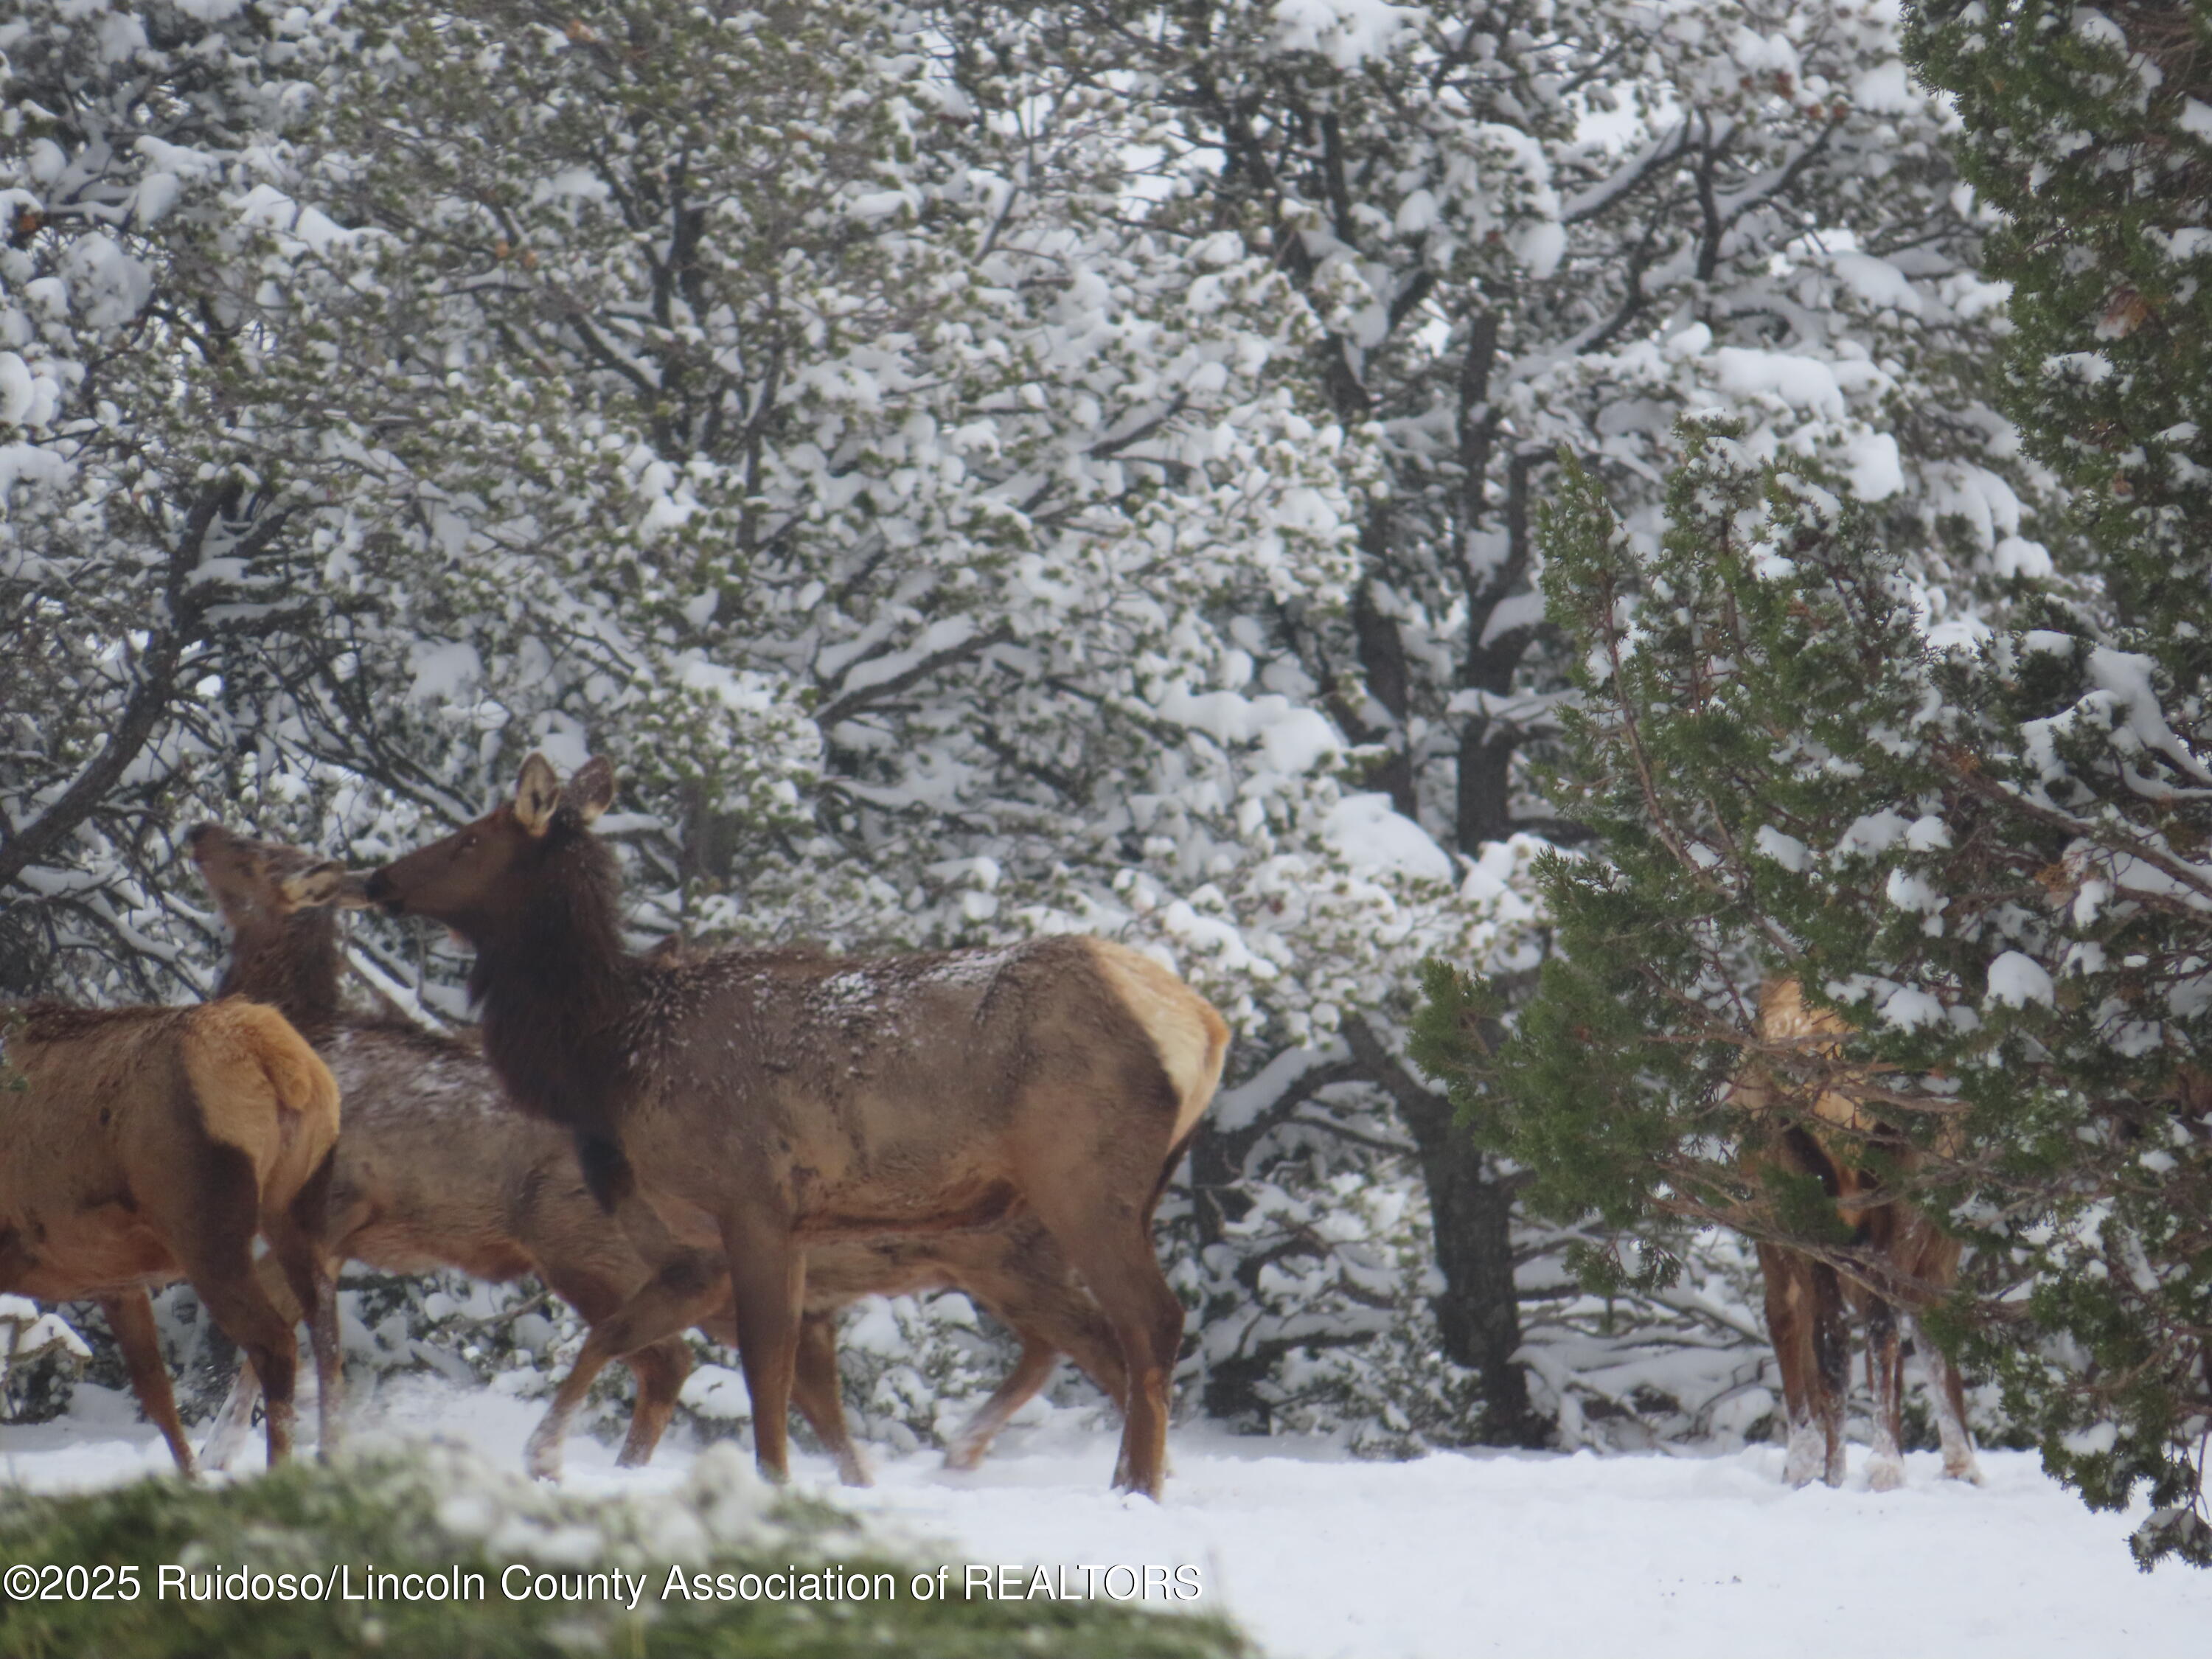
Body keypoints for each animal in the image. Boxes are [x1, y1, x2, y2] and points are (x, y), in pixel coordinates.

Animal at [0, 995, 336, 1478]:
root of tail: (282, 1063)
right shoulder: (117, 1283)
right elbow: (155, 1392)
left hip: (205, 1230)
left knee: (275, 1342)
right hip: (302, 1212)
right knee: (326, 1331)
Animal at [190, 827, 1133, 1478]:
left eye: (258, 856)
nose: (199, 830)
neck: (308, 1027)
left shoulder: (337, 1206)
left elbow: (279, 1330)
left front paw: (229, 1452)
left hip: (588, 1243)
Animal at [365, 761, 1230, 1504]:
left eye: (470, 838)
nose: (378, 878)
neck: (611, 1060)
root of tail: (1206, 1024)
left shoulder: (748, 1196)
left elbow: (758, 1360)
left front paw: (766, 1480)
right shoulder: (723, 1239)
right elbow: (641, 1339)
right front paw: (545, 1456)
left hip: (1080, 1177)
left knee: (1148, 1322)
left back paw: (1136, 1487)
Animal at [1734, 982, 1982, 1504]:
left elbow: (1798, 1338)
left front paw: (1807, 1467)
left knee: (1845, 1339)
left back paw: (1852, 1469)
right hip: (1902, 1211)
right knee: (1891, 1331)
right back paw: (1903, 1467)